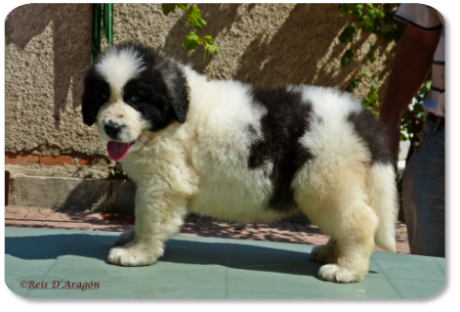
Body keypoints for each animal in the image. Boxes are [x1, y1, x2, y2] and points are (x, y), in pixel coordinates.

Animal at [81, 42, 398, 284]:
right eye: (101, 96)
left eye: (136, 98)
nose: (111, 127)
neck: (173, 119)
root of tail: (360, 117)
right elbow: (141, 216)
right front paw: (130, 238)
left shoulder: (163, 183)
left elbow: (149, 218)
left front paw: (137, 253)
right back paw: (332, 252)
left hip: (326, 182)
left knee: (362, 221)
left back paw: (346, 269)